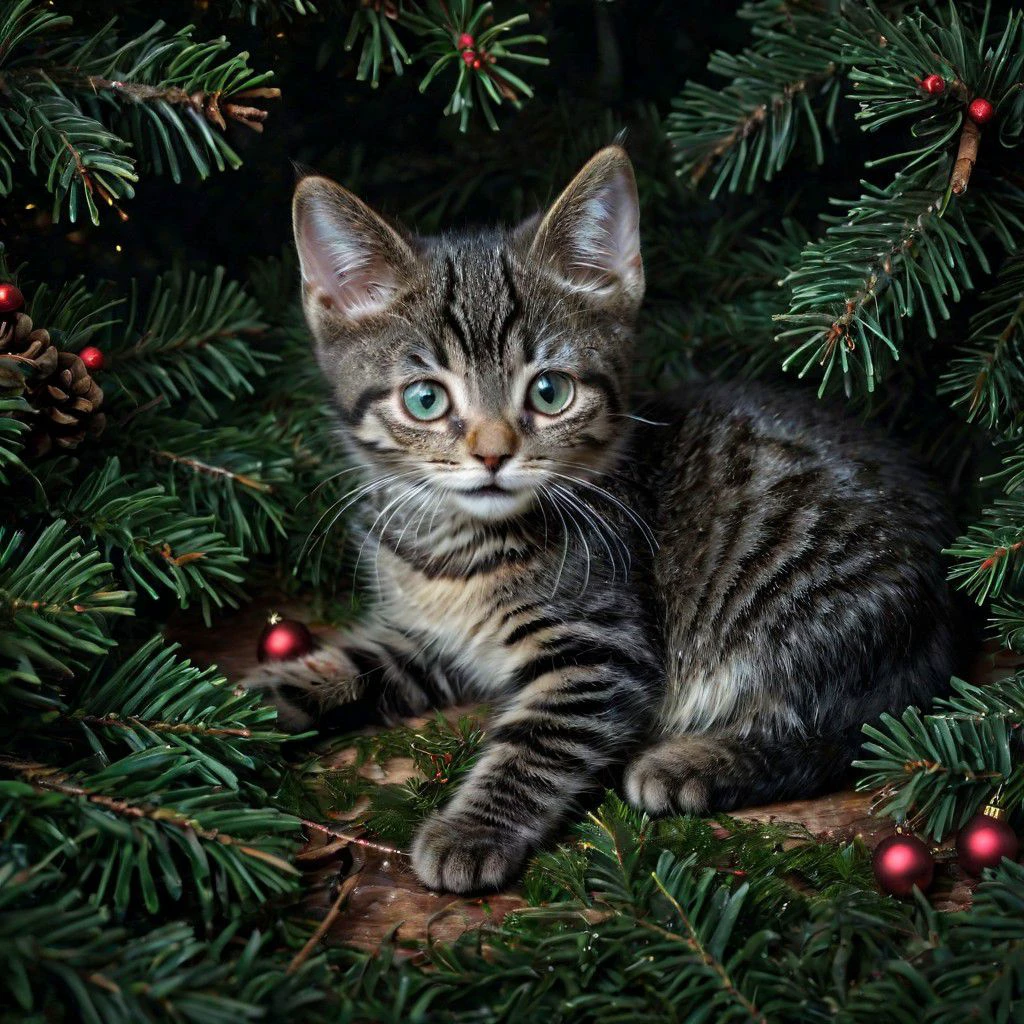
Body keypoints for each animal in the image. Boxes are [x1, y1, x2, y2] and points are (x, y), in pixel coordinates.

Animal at [243, 148, 954, 892]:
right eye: (425, 399)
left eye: (550, 392)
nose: (492, 453)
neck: (455, 546)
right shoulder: (432, 639)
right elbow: (347, 663)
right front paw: (234, 706)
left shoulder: (598, 649)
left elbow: (536, 744)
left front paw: (472, 831)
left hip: (801, 597)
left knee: (839, 733)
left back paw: (690, 764)